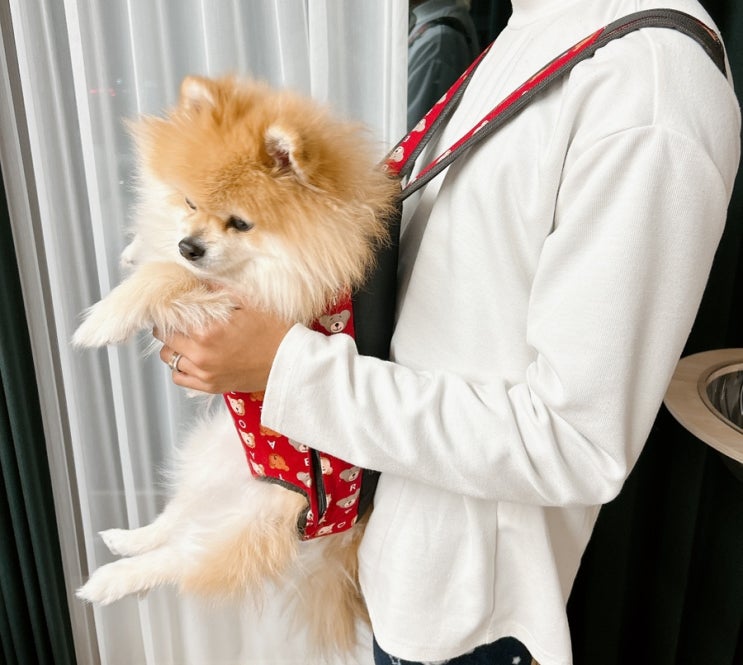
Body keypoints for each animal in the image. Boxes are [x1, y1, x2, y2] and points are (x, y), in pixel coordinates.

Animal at [73, 75, 399, 655]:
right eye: (189, 201)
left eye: (240, 223)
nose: (189, 244)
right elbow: (160, 258)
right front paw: (140, 245)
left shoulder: (259, 298)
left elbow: (167, 277)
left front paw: (104, 318)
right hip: (208, 456)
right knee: (175, 520)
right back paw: (126, 538)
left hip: (253, 524)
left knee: (183, 559)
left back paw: (110, 581)